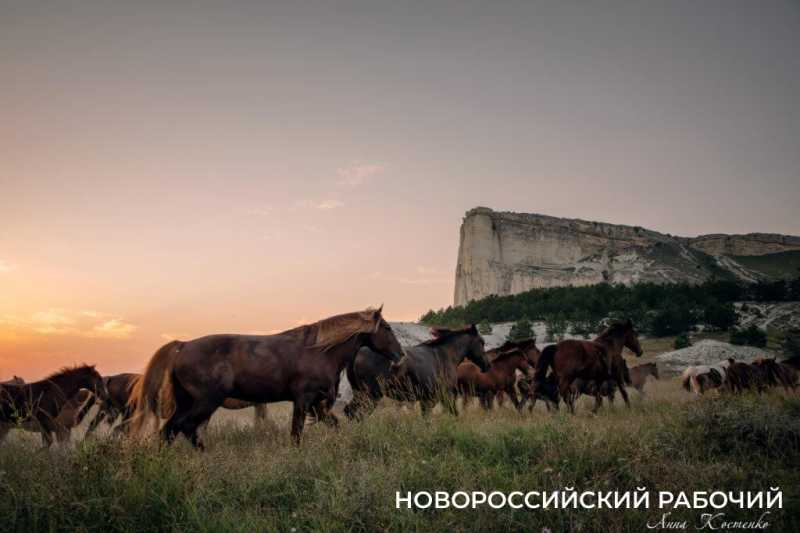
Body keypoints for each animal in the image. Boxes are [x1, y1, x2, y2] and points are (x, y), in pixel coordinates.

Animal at [128, 307, 403, 447]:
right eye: (387, 328)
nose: (400, 354)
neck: (319, 351)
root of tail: (182, 346)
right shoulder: (304, 400)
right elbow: (296, 433)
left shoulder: (317, 404)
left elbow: (334, 425)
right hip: (206, 402)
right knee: (185, 428)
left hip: (188, 402)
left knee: (170, 430)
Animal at [345, 325, 488, 419]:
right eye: (482, 342)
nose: (487, 365)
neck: (444, 355)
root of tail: (357, 353)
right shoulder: (442, 395)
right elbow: (452, 414)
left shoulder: (429, 399)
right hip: (371, 395)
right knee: (358, 414)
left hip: (361, 393)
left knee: (350, 412)